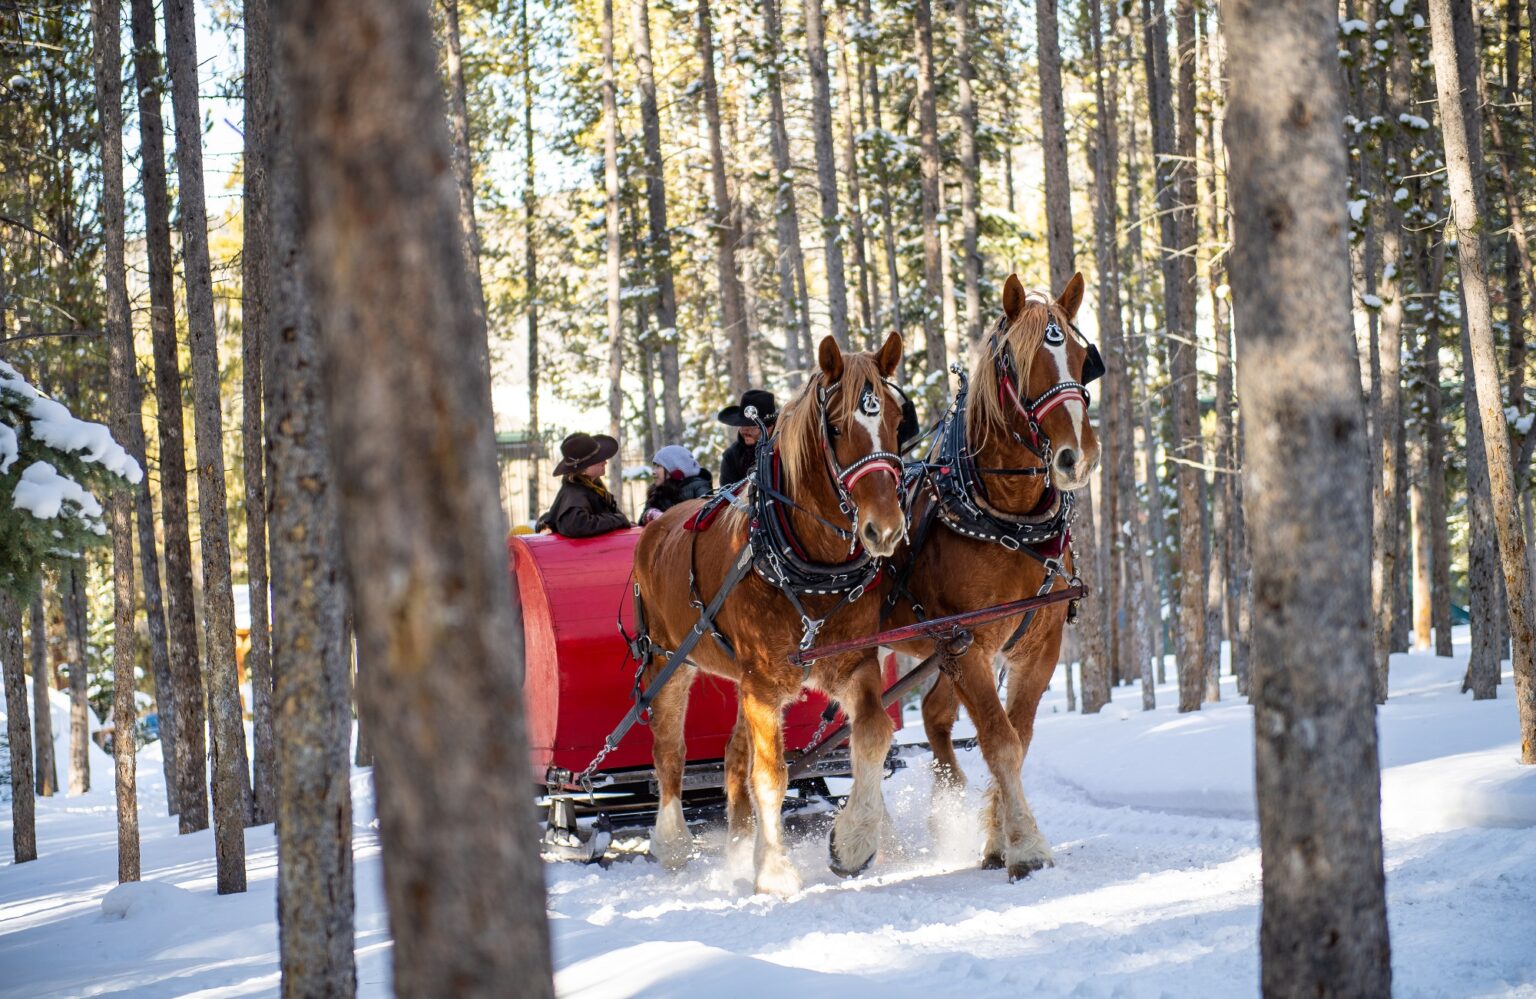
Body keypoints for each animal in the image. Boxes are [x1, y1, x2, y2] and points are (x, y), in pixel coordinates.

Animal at [634, 332, 908, 896]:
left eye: (896, 420)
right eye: (837, 426)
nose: (885, 529)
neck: (808, 564)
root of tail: (653, 526)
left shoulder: (851, 665)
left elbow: (872, 734)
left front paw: (853, 841)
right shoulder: (762, 682)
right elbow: (772, 775)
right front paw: (776, 871)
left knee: (732, 758)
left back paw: (741, 848)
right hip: (668, 661)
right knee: (670, 753)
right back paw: (672, 844)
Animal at [884, 272, 1101, 881]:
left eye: (1083, 359)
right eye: (1020, 365)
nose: (1078, 456)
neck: (1007, 521)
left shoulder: (1038, 644)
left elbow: (1017, 737)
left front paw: (998, 838)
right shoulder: (965, 644)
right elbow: (998, 739)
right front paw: (1026, 846)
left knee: (933, 718)